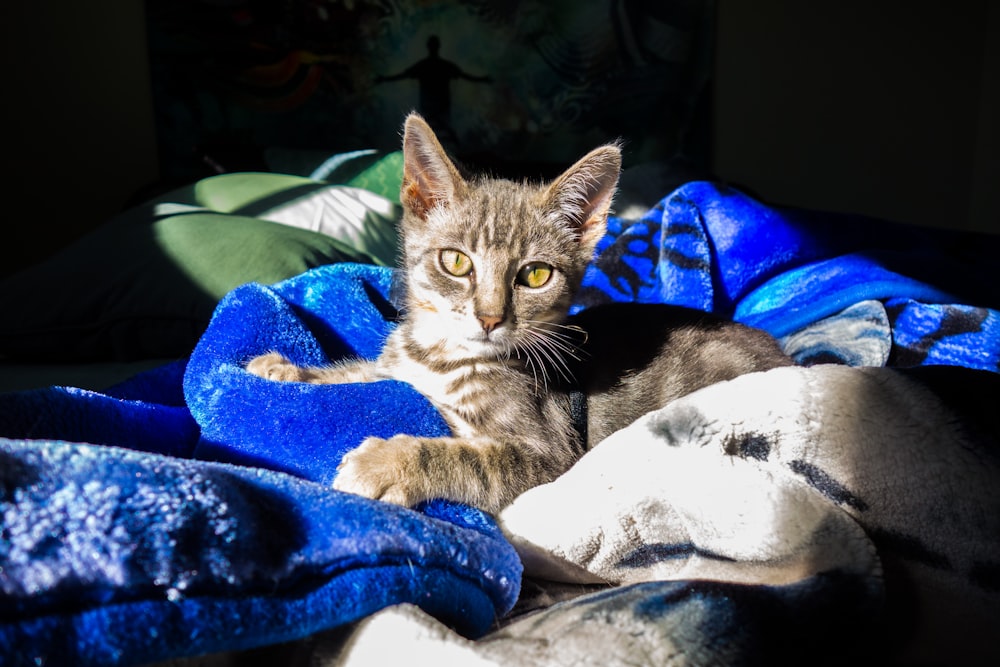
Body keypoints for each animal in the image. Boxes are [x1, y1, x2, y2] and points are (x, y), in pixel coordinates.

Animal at [246, 113, 792, 512]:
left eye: (534, 275)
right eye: (456, 262)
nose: (489, 318)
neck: (441, 357)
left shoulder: (553, 456)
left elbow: (470, 461)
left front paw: (387, 462)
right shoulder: (400, 369)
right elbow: (360, 374)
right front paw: (286, 369)